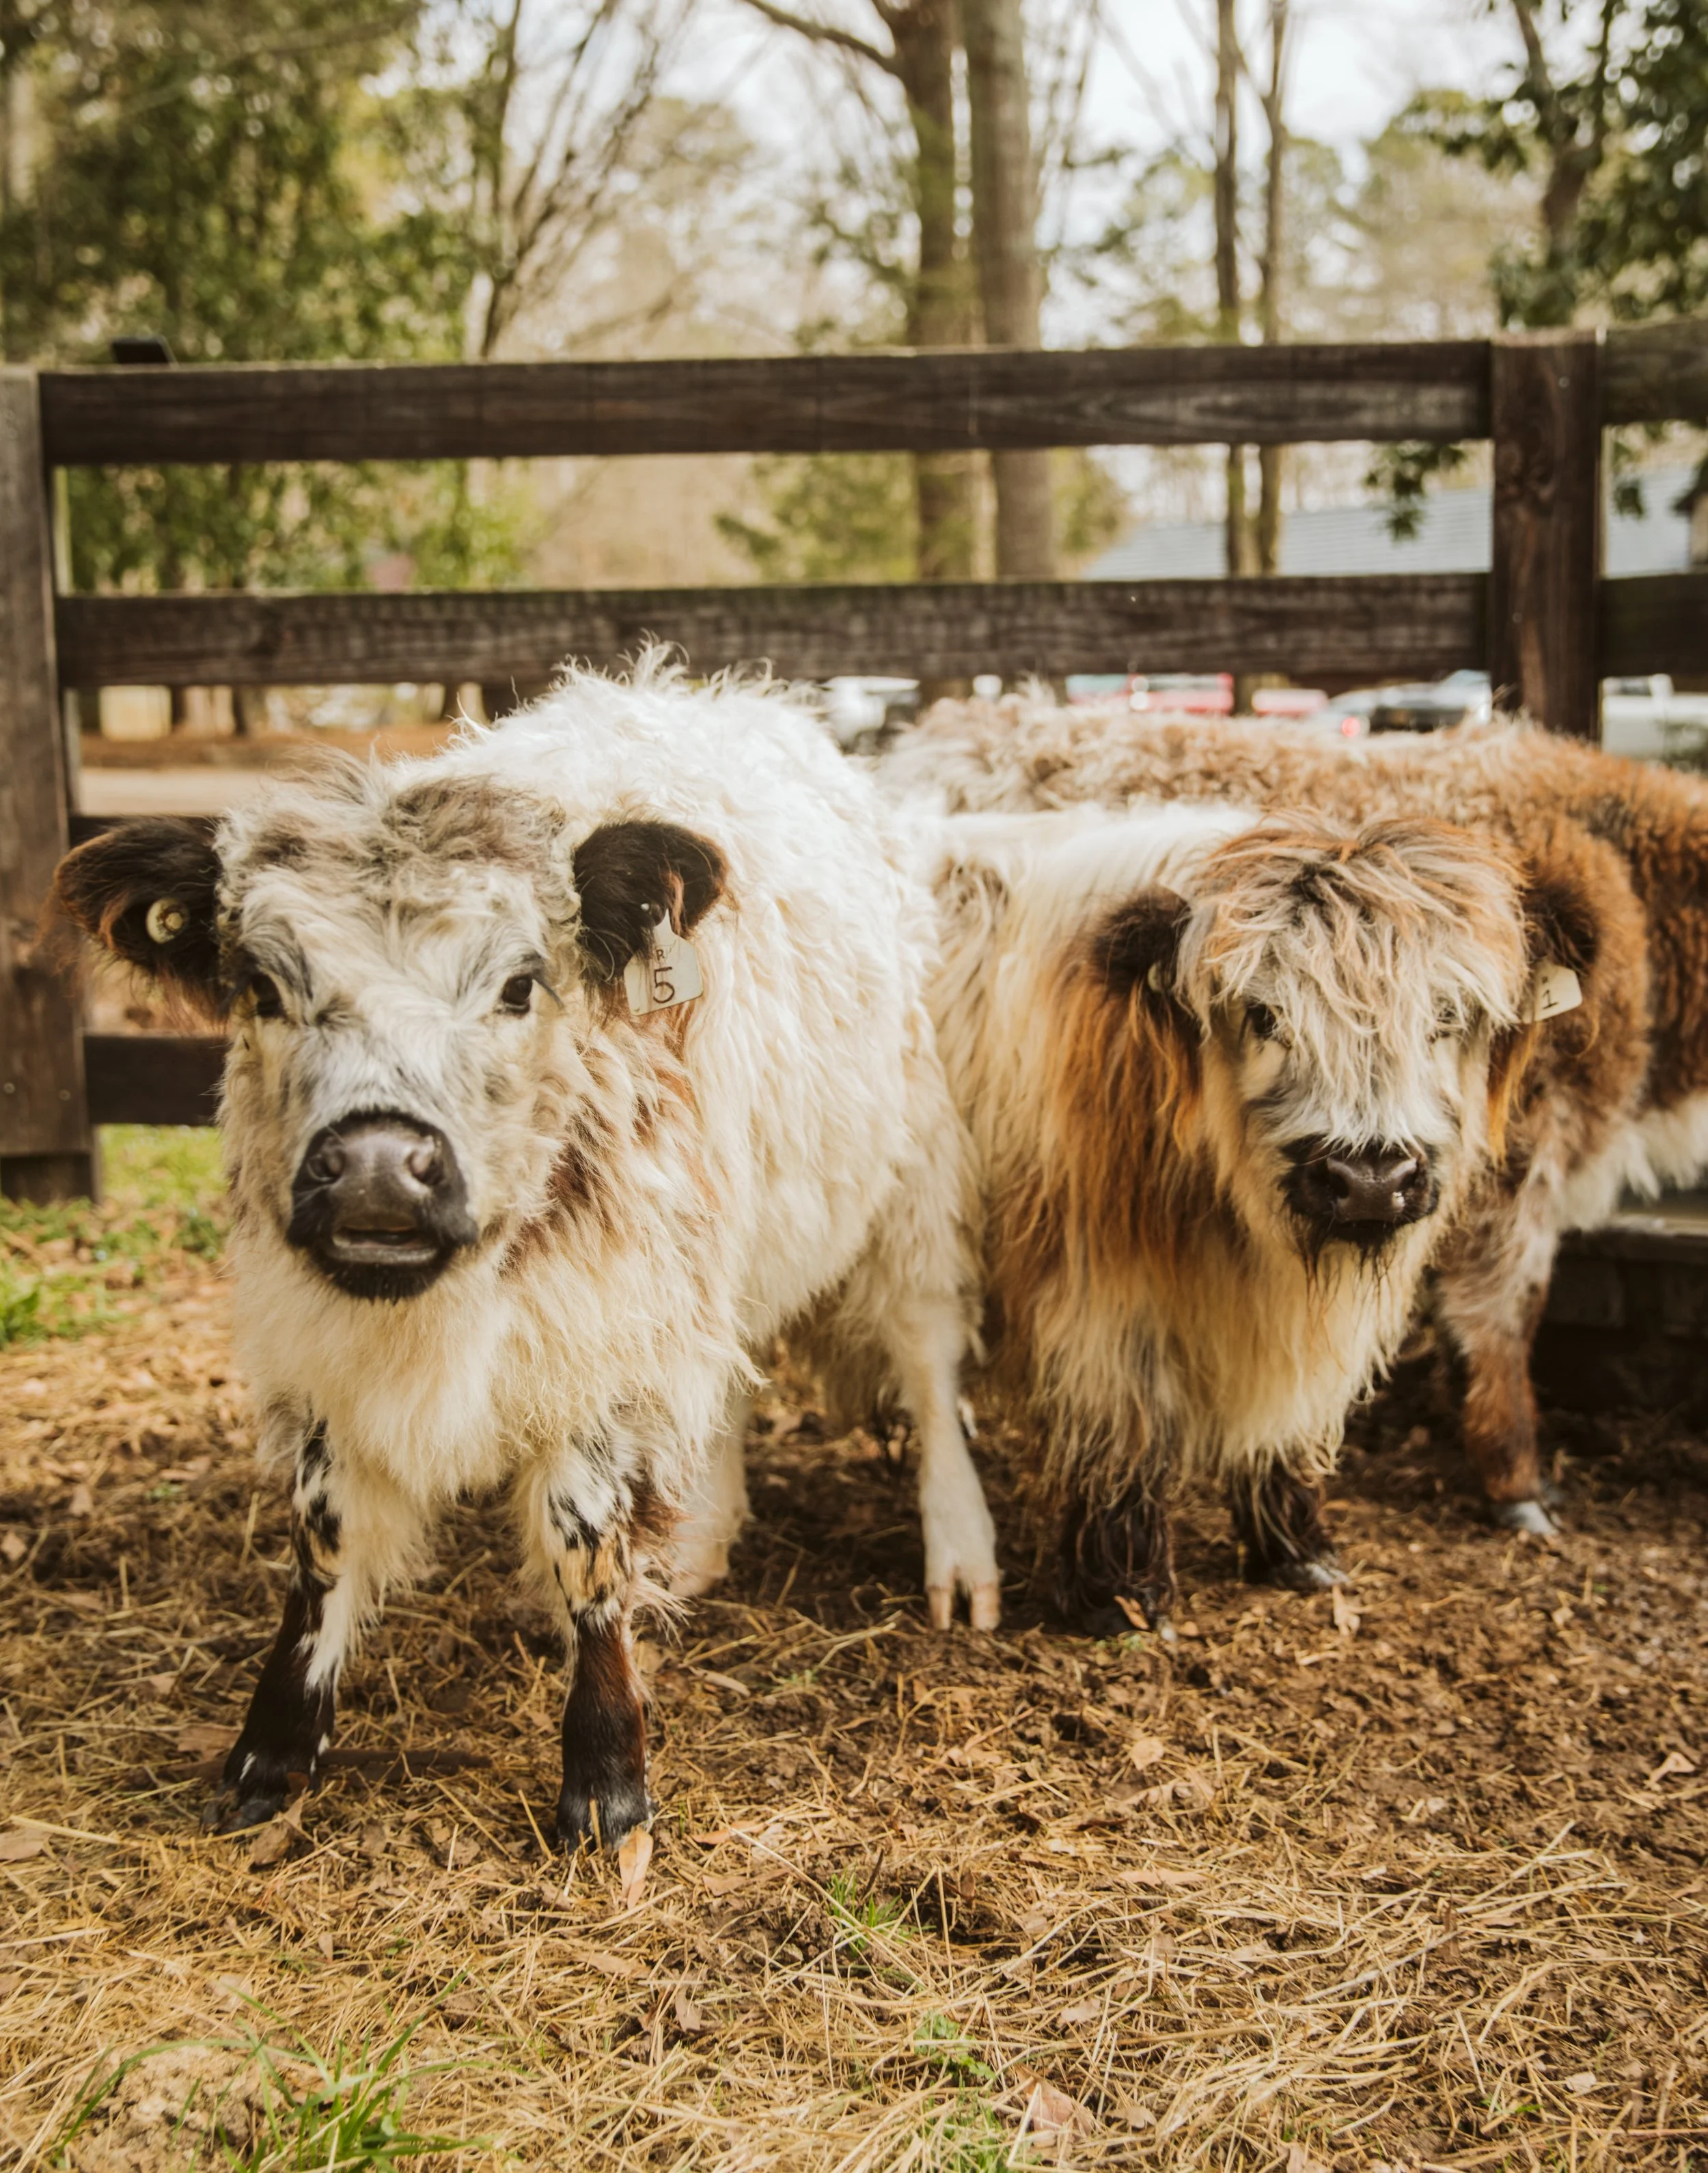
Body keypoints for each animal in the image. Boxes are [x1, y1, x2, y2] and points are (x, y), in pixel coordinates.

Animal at [53, 661, 1001, 1852]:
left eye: (516, 985)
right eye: (263, 988)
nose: (376, 1170)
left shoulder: (602, 1328)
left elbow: (584, 1538)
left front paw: (607, 1780)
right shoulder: (322, 1347)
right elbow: (323, 1542)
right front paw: (270, 1755)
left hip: (907, 1180)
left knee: (927, 1362)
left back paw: (959, 1557)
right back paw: (704, 1534)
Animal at [920, 800, 1582, 1628]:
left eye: (1445, 1015)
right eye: (1264, 1015)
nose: (1370, 1178)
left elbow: (1285, 1420)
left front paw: (1295, 1549)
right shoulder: (1096, 1292)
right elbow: (1124, 1428)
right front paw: (1122, 1592)